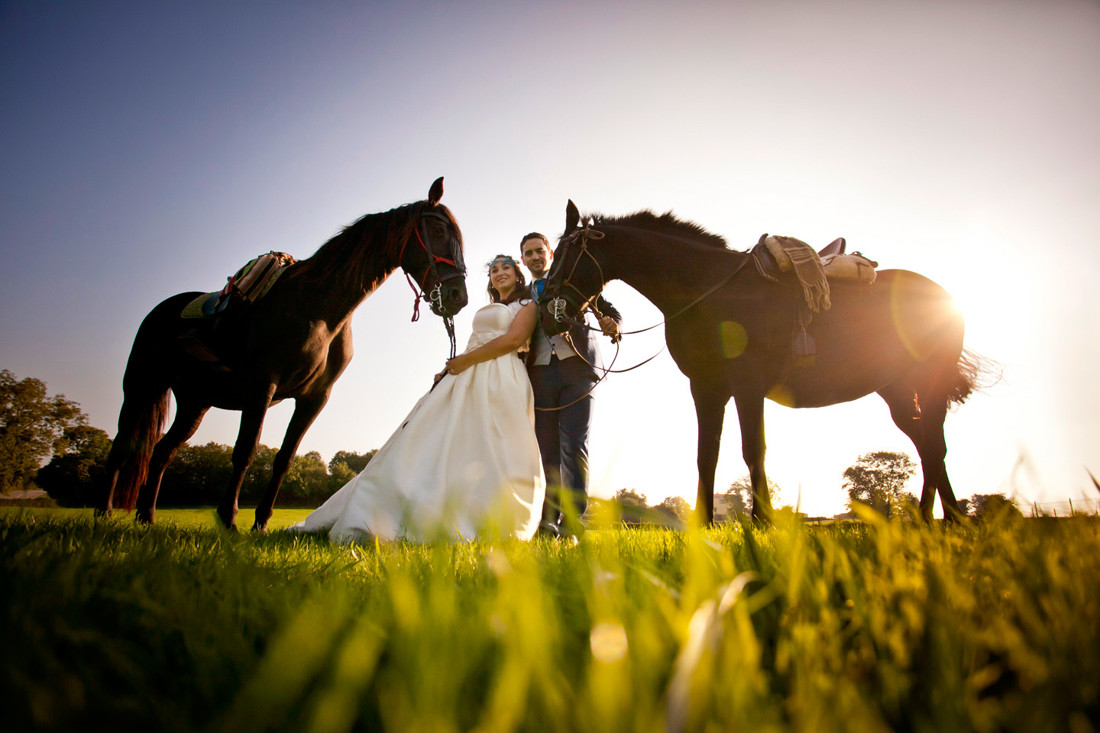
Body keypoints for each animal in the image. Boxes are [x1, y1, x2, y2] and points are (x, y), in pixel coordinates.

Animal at [97, 178, 468, 530]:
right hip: (141, 387)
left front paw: (261, 522)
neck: (319, 308)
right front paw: (229, 520)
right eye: (438, 231)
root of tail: (162, 310)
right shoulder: (263, 385)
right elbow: (245, 451)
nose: (458, 296)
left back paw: (146, 517)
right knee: (123, 448)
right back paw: (104, 513)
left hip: (194, 402)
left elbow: (285, 458)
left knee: (161, 453)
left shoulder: (314, 398)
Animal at [541, 200, 990, 519]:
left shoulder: (747, 385)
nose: (547, 310)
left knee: (934, 445)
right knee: (926, 444)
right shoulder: (706, 388)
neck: (707, 289)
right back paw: (934, 518)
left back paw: (950, 519)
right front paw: (704, 526)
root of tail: (944, 297)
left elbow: (753, 449)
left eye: (565, 254)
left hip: (930, 384)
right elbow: (707, 454)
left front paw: (764, 521)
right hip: (896, 391)